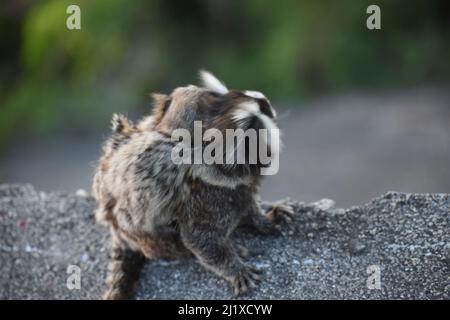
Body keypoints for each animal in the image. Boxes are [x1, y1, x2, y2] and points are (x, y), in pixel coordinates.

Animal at [93, 71, 294, 298]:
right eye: (257, 118)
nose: (265, 102)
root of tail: (117, 231)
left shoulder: (237, 190)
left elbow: (249, 207)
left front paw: (265, 219)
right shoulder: (209, 199)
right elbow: (199, 239)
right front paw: (234, 269)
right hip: (143, 233)